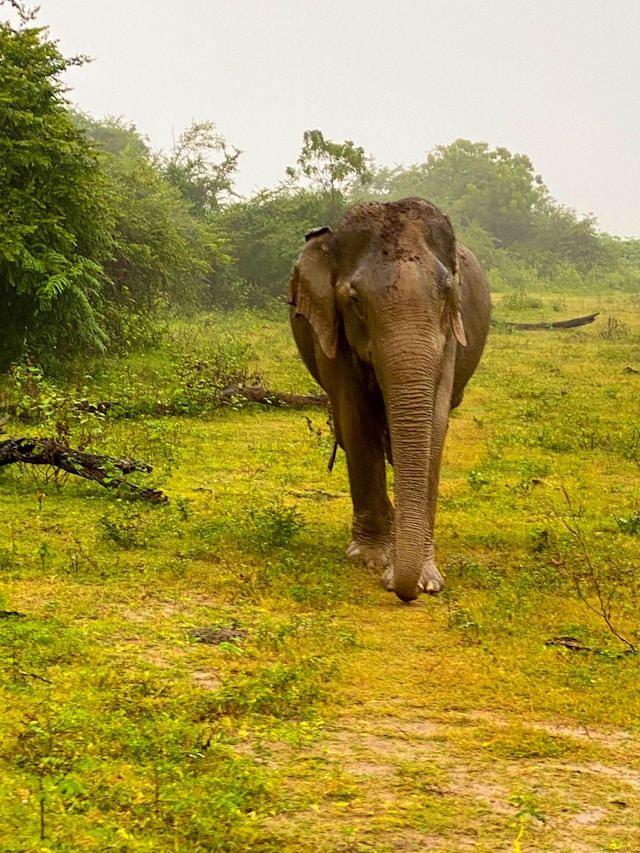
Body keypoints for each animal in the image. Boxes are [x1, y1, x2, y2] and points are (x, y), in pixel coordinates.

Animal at [288, 196, 492, 604]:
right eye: (354, 300)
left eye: (448, 292)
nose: (401, 590)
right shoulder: (331, 334)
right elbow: (355, 417)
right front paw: (372, 559)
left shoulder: (448, 338)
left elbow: (434, 424)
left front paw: (427, 579)